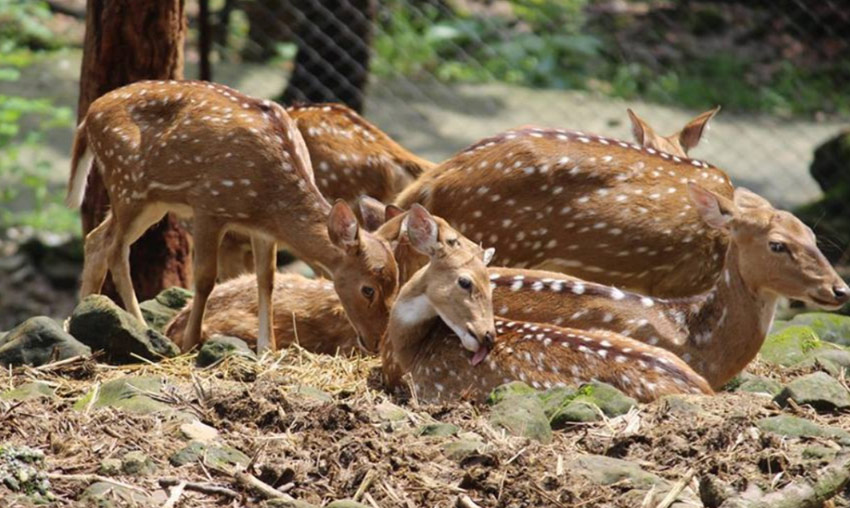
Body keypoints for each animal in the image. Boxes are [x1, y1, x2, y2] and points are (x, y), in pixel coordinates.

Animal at [68, 81, 398, 356]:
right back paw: (140, 327)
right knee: (115, 248)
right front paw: (191, 343)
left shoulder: (263, 230)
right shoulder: (208, 205)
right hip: (127, 184)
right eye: (368, 289)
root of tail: (88, 117)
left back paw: (81, 318)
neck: (269, 200)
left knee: (96, 239)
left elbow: (266, 280)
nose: (376, 343)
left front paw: (267, 349)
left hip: (151, 201)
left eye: (396, 285)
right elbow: (204, 279)